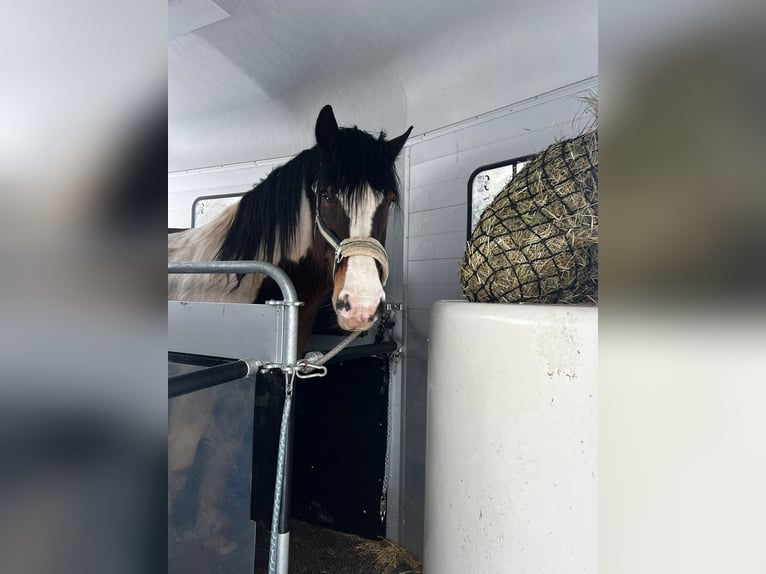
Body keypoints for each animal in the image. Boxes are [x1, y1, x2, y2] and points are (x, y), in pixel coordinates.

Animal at [168, 105, 412, 554]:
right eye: (328, 195)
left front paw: (213, 534)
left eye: (386, 201)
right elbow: (180, 457)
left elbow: (224, 451)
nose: (361, 304)